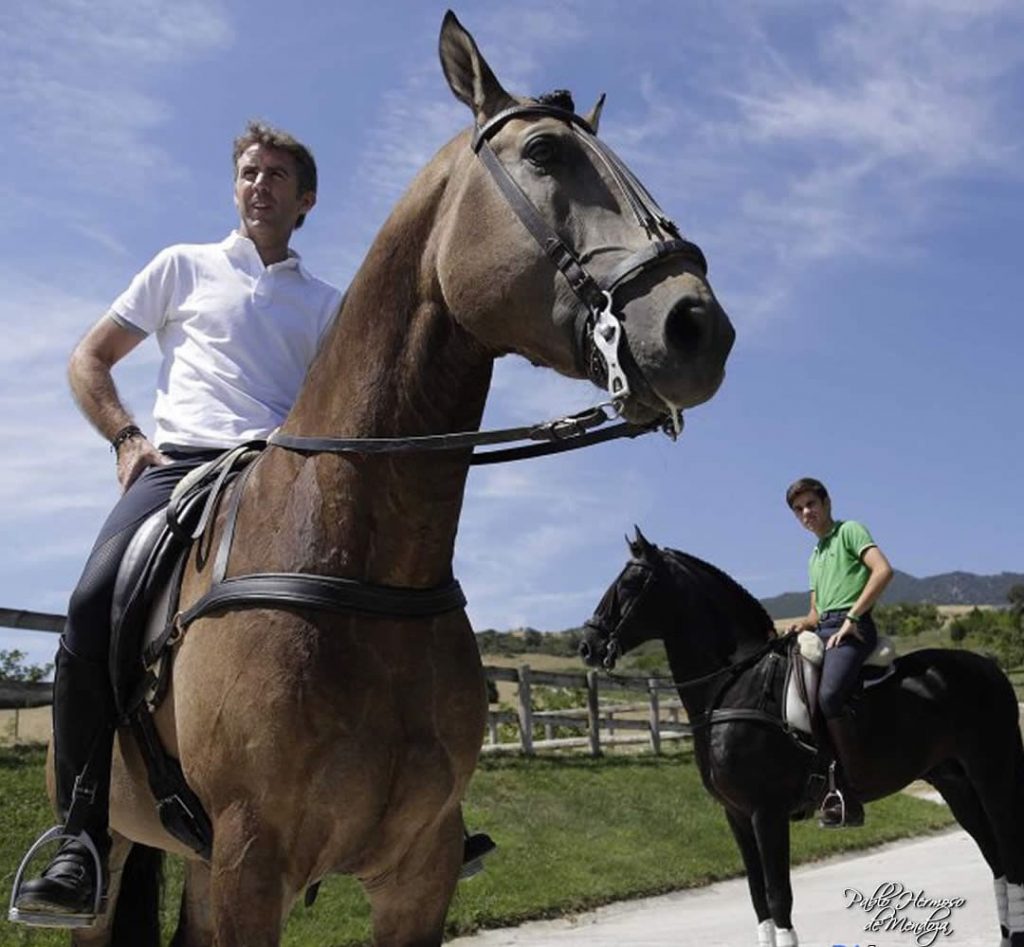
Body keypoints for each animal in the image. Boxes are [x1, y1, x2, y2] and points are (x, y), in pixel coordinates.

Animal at [72, 9, 733, 945]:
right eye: (544, 153)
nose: (695, 327)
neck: (355, 564)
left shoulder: (418, 871)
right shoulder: (249, 865)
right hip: (125, 853)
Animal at [581, 528, 1024, 945]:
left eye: (631, 583)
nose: (588, 645)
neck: (735, 684)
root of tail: (989, 667)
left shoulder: (767, 813)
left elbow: (779, 897)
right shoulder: (736, 815)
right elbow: (757, 896)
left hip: (992, 777)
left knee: (1009, 854)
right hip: (954, 782)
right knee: (997, 861)